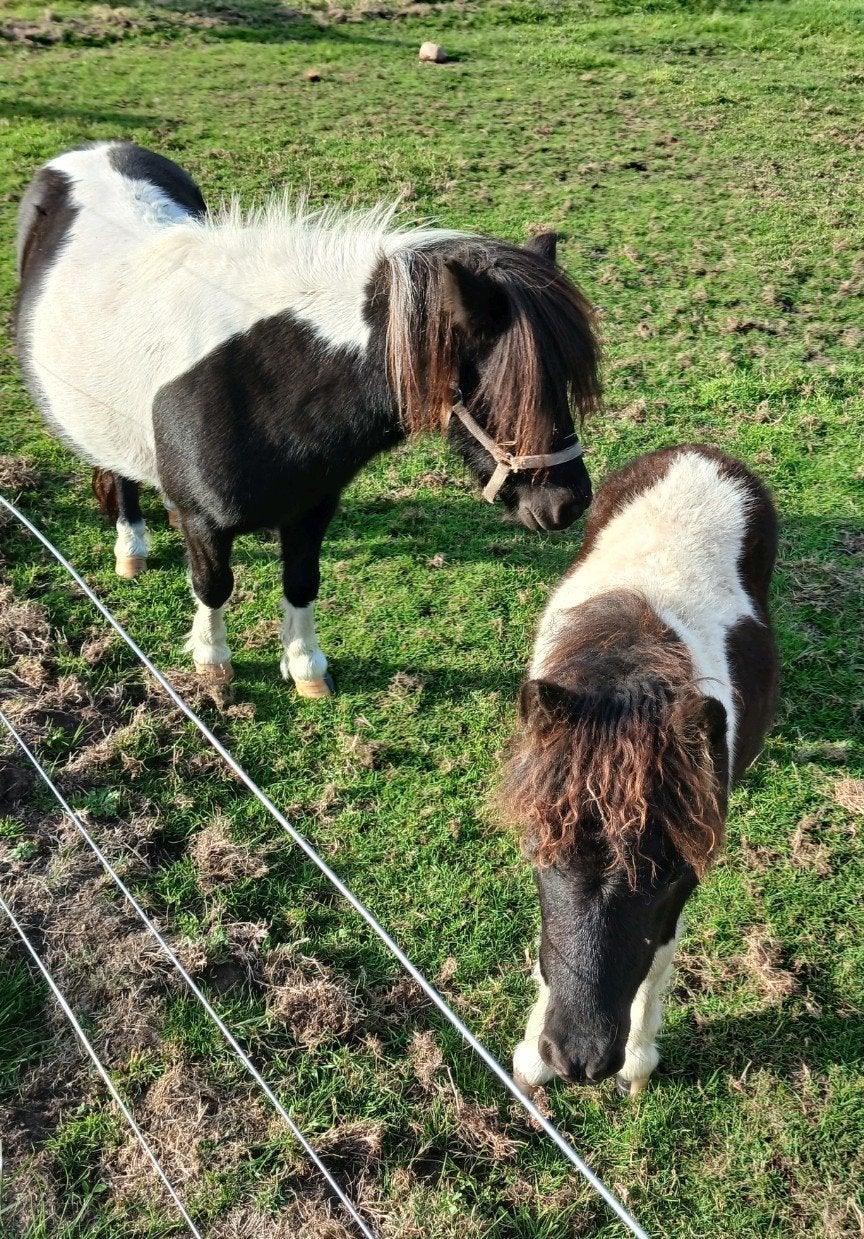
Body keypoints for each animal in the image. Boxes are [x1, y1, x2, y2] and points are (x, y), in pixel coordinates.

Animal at [14, 141, 600, 696]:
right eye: (507, 386)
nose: (568, 504)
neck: (254, 380)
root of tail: (87, 153)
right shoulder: (203, 522)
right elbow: (213, 584)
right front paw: (212, 664)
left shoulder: (311, 508)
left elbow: (301, 582)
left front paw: (306, 670)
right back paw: (131, 547)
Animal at [498, 445, 779, 1096]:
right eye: (537, 849)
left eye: (671, 871)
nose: (578, 1059)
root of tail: (700, 452)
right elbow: (548, 949)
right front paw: (530, 1059)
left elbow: (658, 955)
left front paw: (638, 1064)